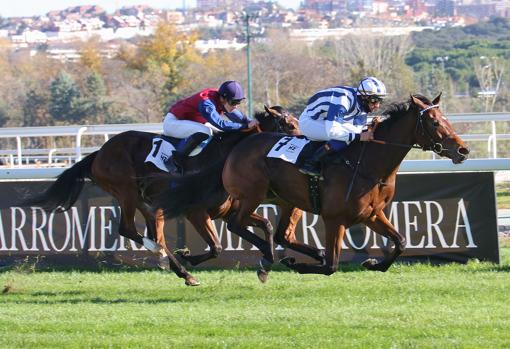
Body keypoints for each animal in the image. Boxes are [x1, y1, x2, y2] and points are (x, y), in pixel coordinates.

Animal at [21, 106, 298, 286]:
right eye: (290, 124)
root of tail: (99, 153)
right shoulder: (196, 212)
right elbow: (217, 246)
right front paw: (190, 256)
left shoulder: (228, 211)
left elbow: (265, 225)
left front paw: (266, 261)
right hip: (126, 191)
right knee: (128, 229)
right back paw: (163, 255)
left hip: (148, 202)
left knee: (157, 234)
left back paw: (178, 268)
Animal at [221, 94, 468, 276]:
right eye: (434, 122)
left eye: (446, 119)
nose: (463, 150)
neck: (368, 164)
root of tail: (241, 143)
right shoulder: (334, 219)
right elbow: (331, 266)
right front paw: (297, 264)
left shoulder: (372, 214)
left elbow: (400, 241)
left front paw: (374, 264)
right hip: (252, 196)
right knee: (236, 223)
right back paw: (267, 256)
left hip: (286, 201)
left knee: (279, 233)